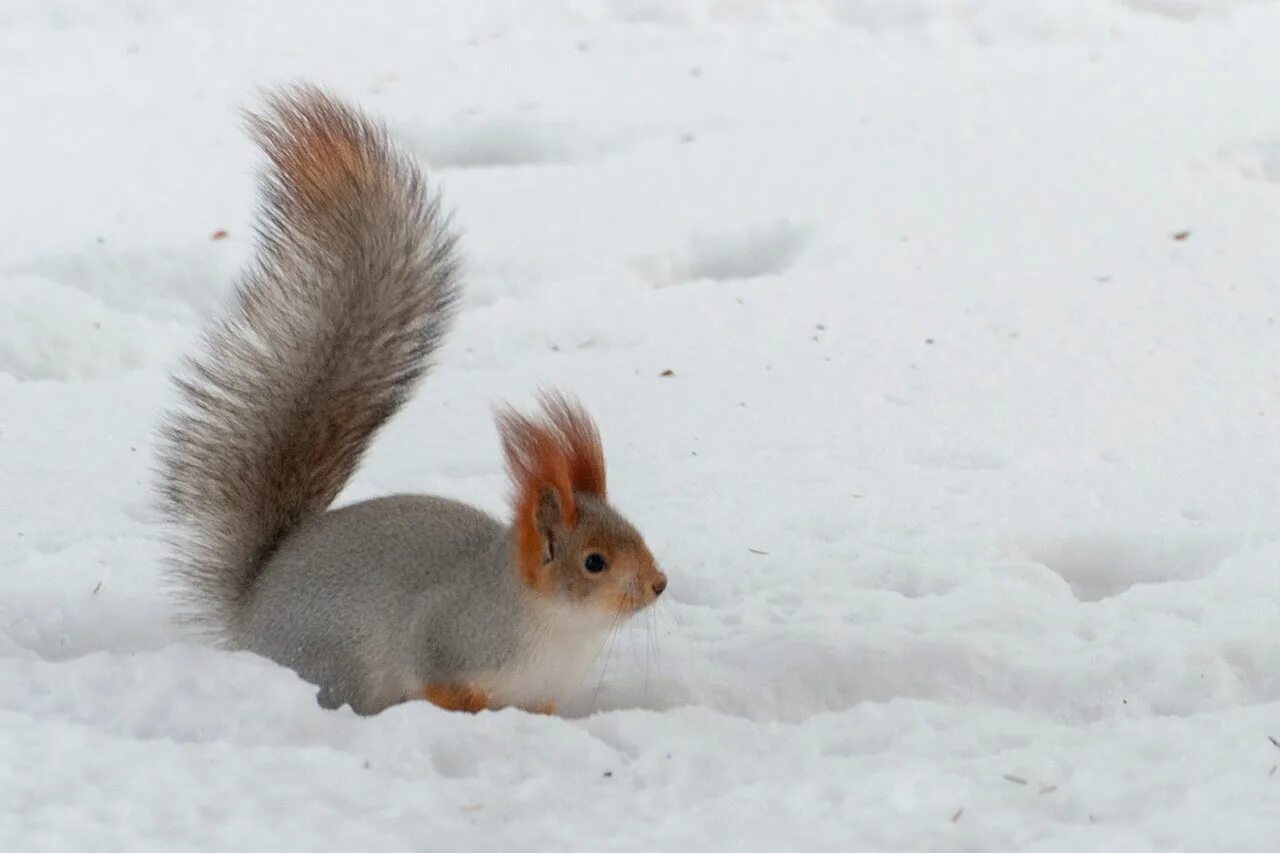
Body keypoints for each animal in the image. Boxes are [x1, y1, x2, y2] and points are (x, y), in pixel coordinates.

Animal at [154, 86, 665, 712]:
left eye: (633, 528)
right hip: (339, 667)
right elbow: (442, 683)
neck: (556, 625)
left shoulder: (542, 692)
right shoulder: (448, 639)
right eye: (595, 562)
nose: (659, 584)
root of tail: (251, 616)